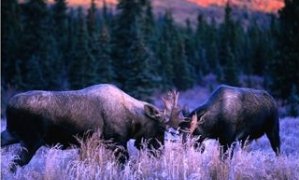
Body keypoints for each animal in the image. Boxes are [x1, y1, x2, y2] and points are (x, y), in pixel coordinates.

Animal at [1, 84, 182, 172]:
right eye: (161, 128)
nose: (159, 152)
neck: (133, 119)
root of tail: (9, 106)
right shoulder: (117, 142)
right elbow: (125, 165)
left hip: (13, 133)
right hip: (31, 140)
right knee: (14, 164)